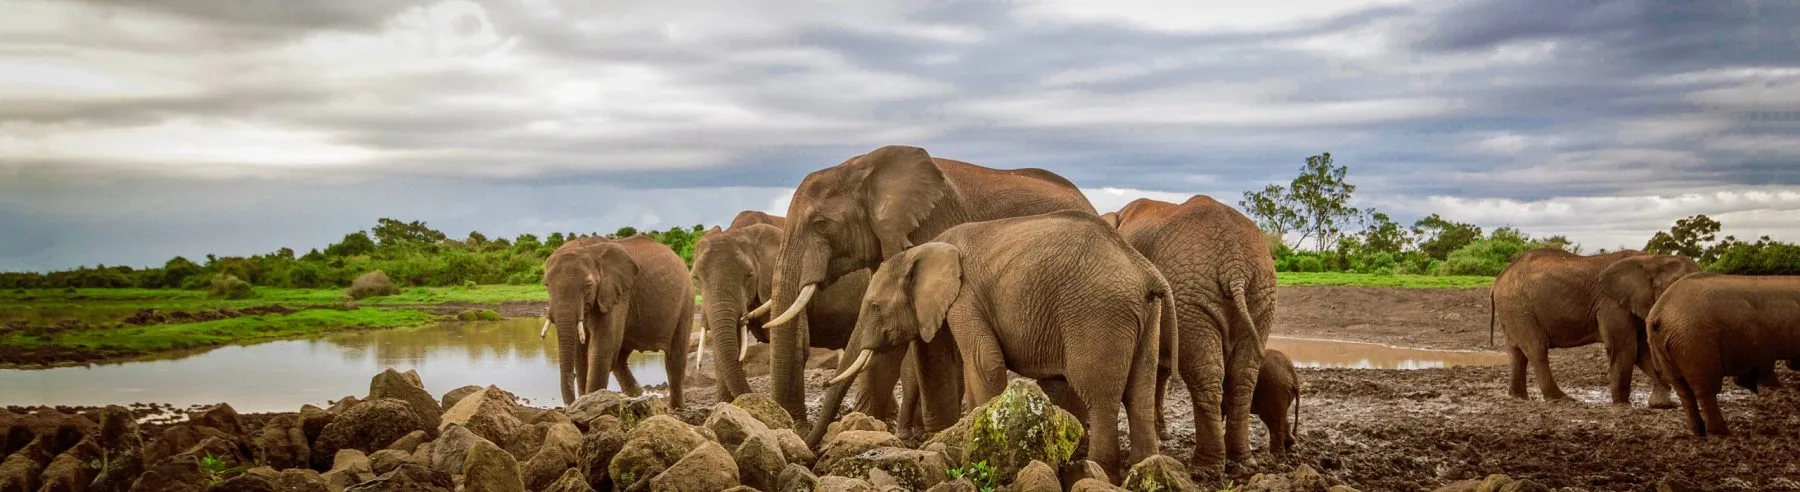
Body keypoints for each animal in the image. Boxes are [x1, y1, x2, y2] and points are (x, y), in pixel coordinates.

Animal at [541, 235, 694, 407]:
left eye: (588, 285)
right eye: (546, 284)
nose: (569, 404)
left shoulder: (618, 295)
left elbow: (602, 348)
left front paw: (589, 402)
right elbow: (581, 352)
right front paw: (583, 403)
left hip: (687, 300)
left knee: (675, 357)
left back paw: (676, 408)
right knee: (620, 355)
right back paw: (637, 394)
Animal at [809, 210, 1171, 480]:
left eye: (873, 307)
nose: (814, 452)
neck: (923, 250)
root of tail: (1145, 272)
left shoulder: (965, 296)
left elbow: (984, 362)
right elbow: (942, 361)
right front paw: (943, 439)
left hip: (1098, 314)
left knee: (1099, 394)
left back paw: (1098, 471)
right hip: (1147, 317)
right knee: (1139, 392)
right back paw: (1145, 467)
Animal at [1109, 195, 1275, 471]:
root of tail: (1235, 262)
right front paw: (1162, 437)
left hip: (1192, 296)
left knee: (1206, 373)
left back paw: (1206, 464)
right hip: (1256, 293)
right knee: (1242, 377)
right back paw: (1241, 460)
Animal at [1491, 249, 1698, 407]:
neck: (1654, 260)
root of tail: (1498, 280)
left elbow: (1641, 350)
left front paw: (1662, 403)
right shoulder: (1612, 303)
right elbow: (1626, 347)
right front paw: (1622, 404)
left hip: (1513, 310)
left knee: (1517, 353)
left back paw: (1519, 397)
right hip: (1519, 307)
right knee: (1537, 348)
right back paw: (1562, 400)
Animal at [1647, 273, 1800, 437]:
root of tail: (1658, 314)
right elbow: (1763, 370)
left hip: (1670, 344)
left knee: (1683, 389)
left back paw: (1699, 433)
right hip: (1694, 340)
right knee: (1706, 388)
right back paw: (1721, 434)